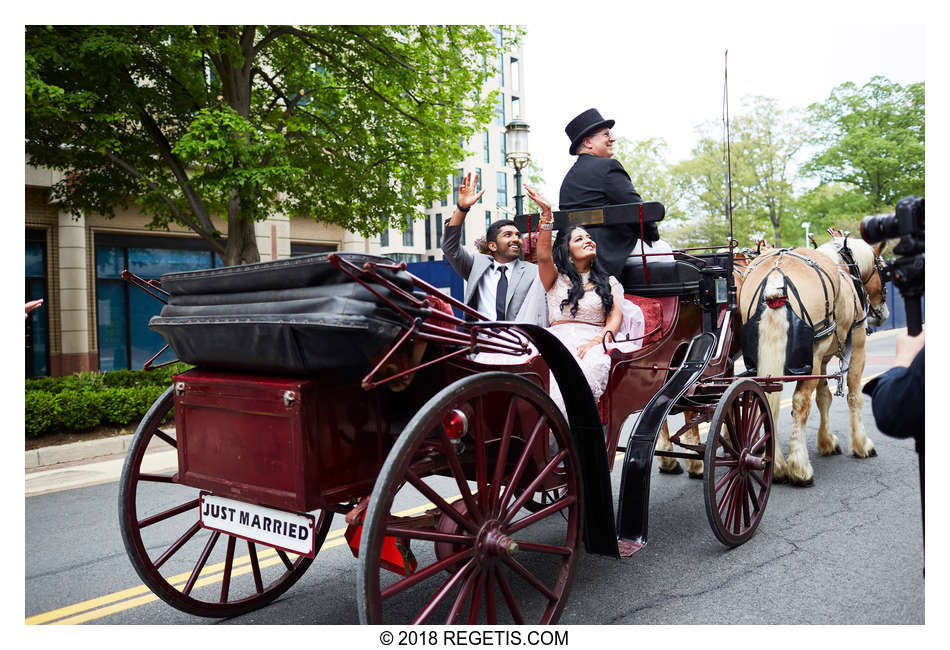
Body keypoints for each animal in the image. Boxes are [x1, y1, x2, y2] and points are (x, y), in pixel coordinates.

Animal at [736, 235, 892, 484]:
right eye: (884, 271)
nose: (883, 313)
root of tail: (776, 276)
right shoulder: (856, 349)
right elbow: (854, 396)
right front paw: (862, 445)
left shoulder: (823, 359)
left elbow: (823, 397)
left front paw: (827, 442)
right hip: (814, 358)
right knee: (800, 402)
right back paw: (799, 467)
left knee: (766, 402)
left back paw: (776, 465)